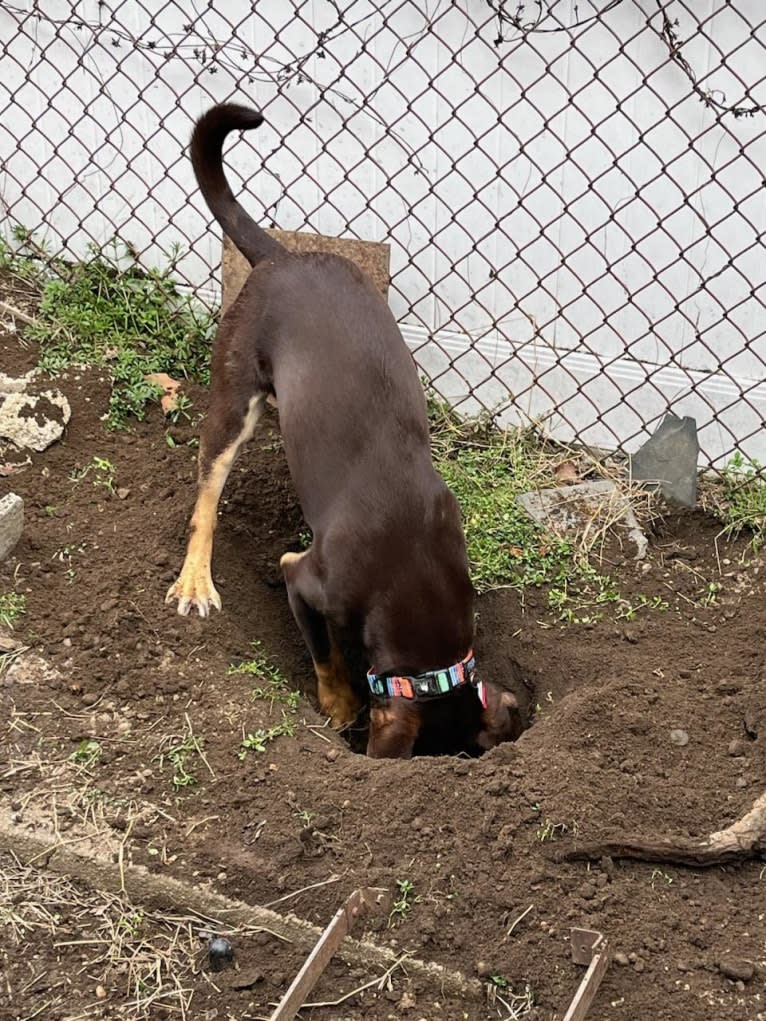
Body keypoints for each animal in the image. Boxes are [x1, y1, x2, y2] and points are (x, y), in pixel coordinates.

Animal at [167, 103, 522, 759]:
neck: (416, 573)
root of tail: (282, 256)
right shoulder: (304, 580)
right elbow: (326, 652)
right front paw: (340, 706)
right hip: (234, 397)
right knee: (207, 491)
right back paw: (195, 580)